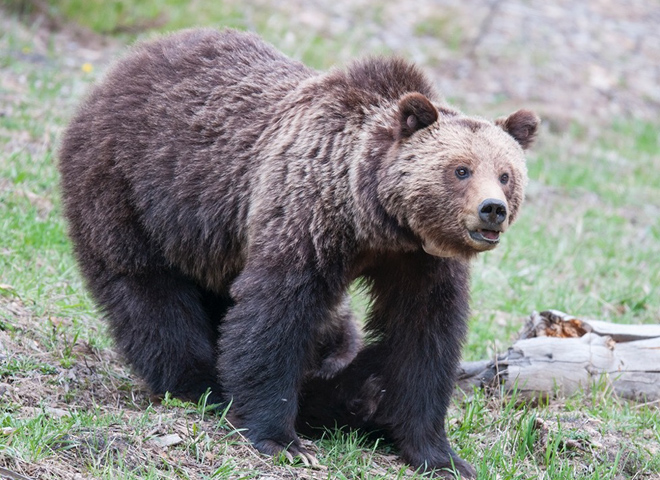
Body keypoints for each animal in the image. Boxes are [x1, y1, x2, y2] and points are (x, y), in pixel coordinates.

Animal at [59, 28, 540, 478]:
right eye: (460, 170)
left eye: (506, 174)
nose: (492, 209)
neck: (374, 221)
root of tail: (130, 60)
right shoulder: (307, 215)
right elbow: (277, 314)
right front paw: (283, 439)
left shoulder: (421, 261)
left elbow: (423, 337)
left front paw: (438, 453)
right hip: (131, 188)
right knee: (145, 291)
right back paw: (202, 384)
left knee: (326, 329)